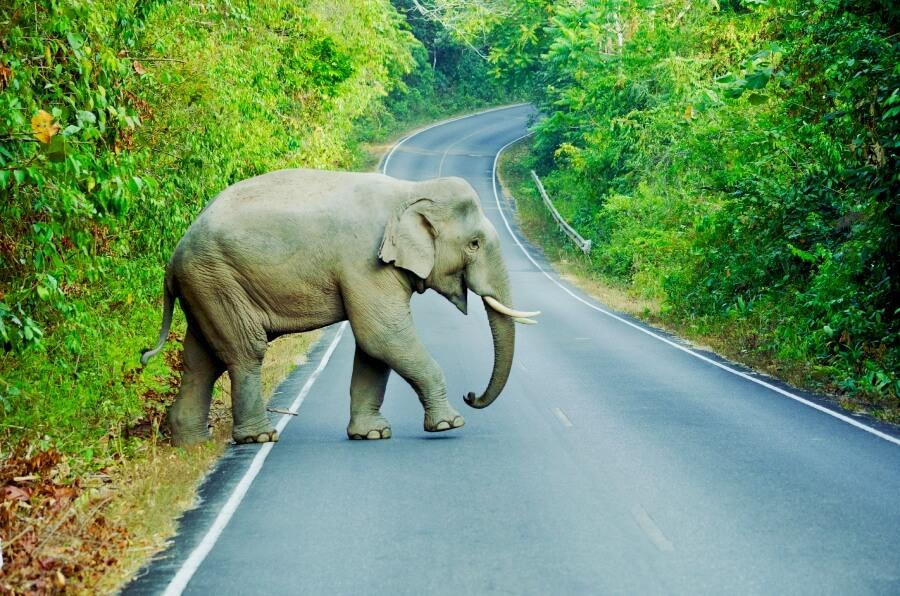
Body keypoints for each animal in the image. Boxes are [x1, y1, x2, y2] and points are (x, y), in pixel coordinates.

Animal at [140, 168, 540, 446]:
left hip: (206, 288)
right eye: (474, 244)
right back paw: (259, 438)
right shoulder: (366, 263)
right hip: (218, 280)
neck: (410, 190)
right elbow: (382, 336)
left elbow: (374, 348)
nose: (470, 395)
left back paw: (192, 443)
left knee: (201, 360)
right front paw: (449, 424)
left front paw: (372, 435)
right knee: (244, 352)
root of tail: (173, 259)